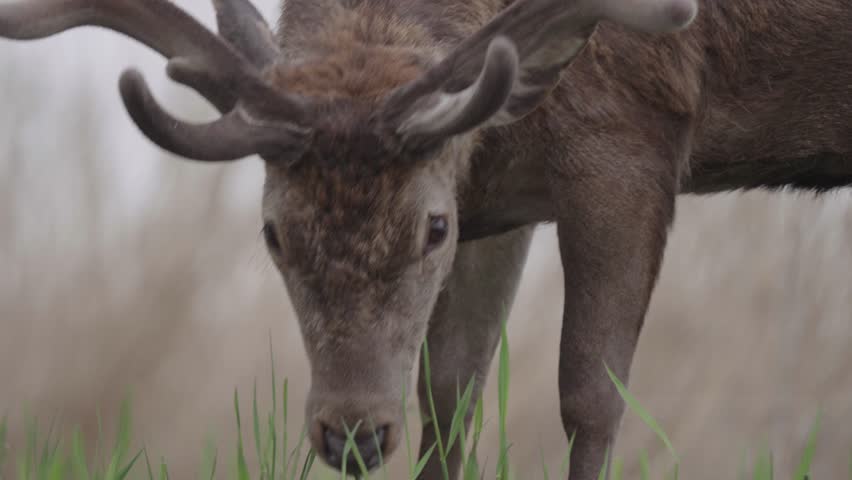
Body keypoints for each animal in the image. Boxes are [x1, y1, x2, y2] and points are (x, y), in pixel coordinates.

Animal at [3, 0, 851, 478]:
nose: (352, 434)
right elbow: (448, 399)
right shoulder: (501, 194)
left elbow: (591, 397)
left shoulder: (631, 138)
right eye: (273, 231)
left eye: (431, 226)